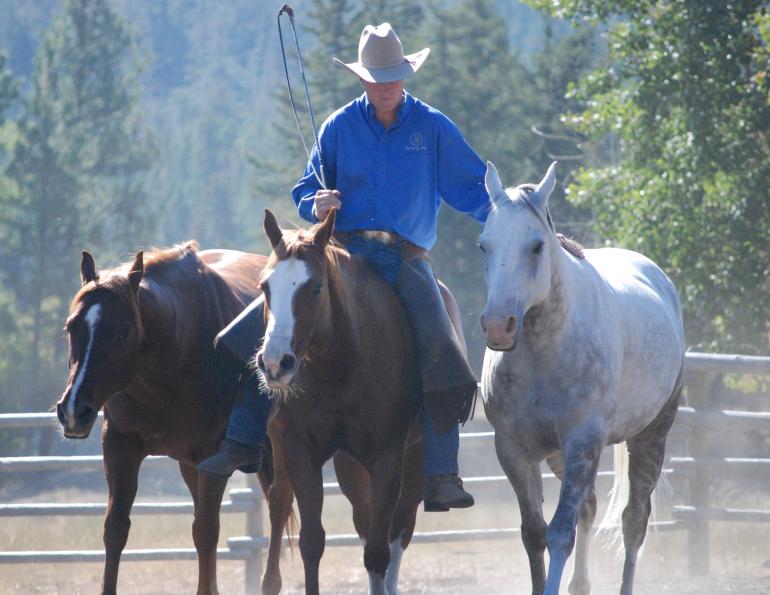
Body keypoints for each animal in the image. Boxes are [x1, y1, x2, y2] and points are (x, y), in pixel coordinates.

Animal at [55, 242, 269, 595]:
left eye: (123, 330)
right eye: (72, 327)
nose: (74, 410)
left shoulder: (213, 455)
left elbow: (206, 530)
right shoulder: (120, 445)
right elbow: (116, 527)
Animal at [253, 208, 428, 595]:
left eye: (315, 287)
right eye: (264, 287)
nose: (275, 363)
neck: (342, 364)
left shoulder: (388, 458)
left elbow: (379, 550)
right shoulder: (300, 451)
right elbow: (312, 542)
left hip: (411, 463)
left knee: (398, 529)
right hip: (339, 464)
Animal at [478, 162, 685, 595]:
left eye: (536, 246)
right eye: (484, 245)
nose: (498, 326)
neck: (545, 350)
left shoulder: (582, 442)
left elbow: (560, 533)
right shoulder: (514, 451)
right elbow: (533, 534)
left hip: (650, 436)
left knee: (633, 521)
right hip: (562, 455)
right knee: (588, 510)